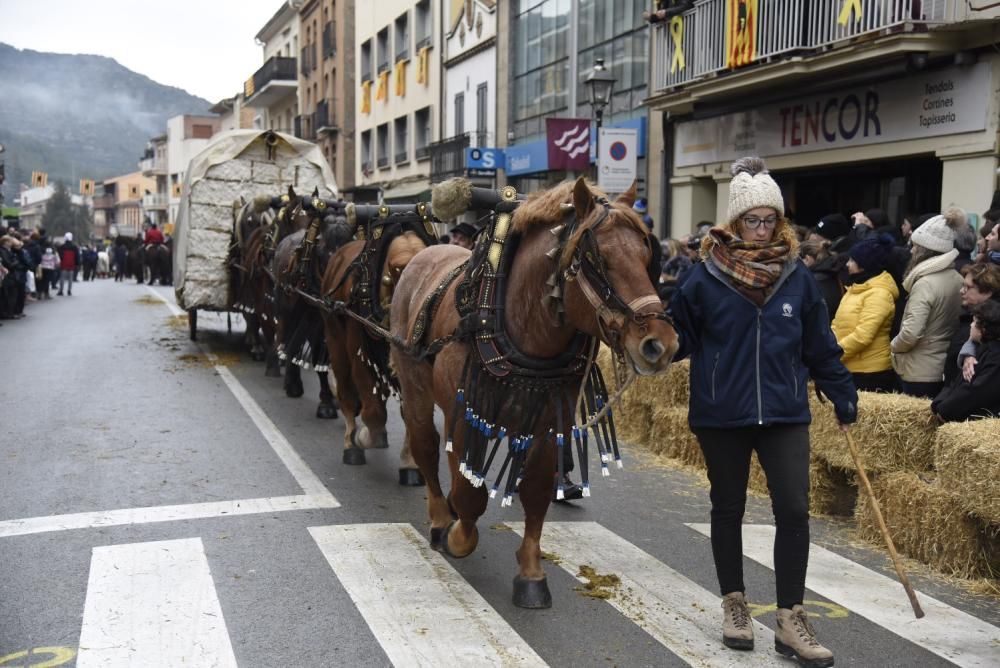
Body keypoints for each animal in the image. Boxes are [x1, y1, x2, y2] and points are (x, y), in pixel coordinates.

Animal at [390, 180, 680, 608]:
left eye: (647, 257)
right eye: (599, 260)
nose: (660, 344)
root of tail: (423, 254)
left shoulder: (548, 421)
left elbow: (537, 489)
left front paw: (530, 573)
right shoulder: (469, 411)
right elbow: (472, 493)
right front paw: (460, 537)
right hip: (416, 385)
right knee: (426, 446)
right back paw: (442, 519)